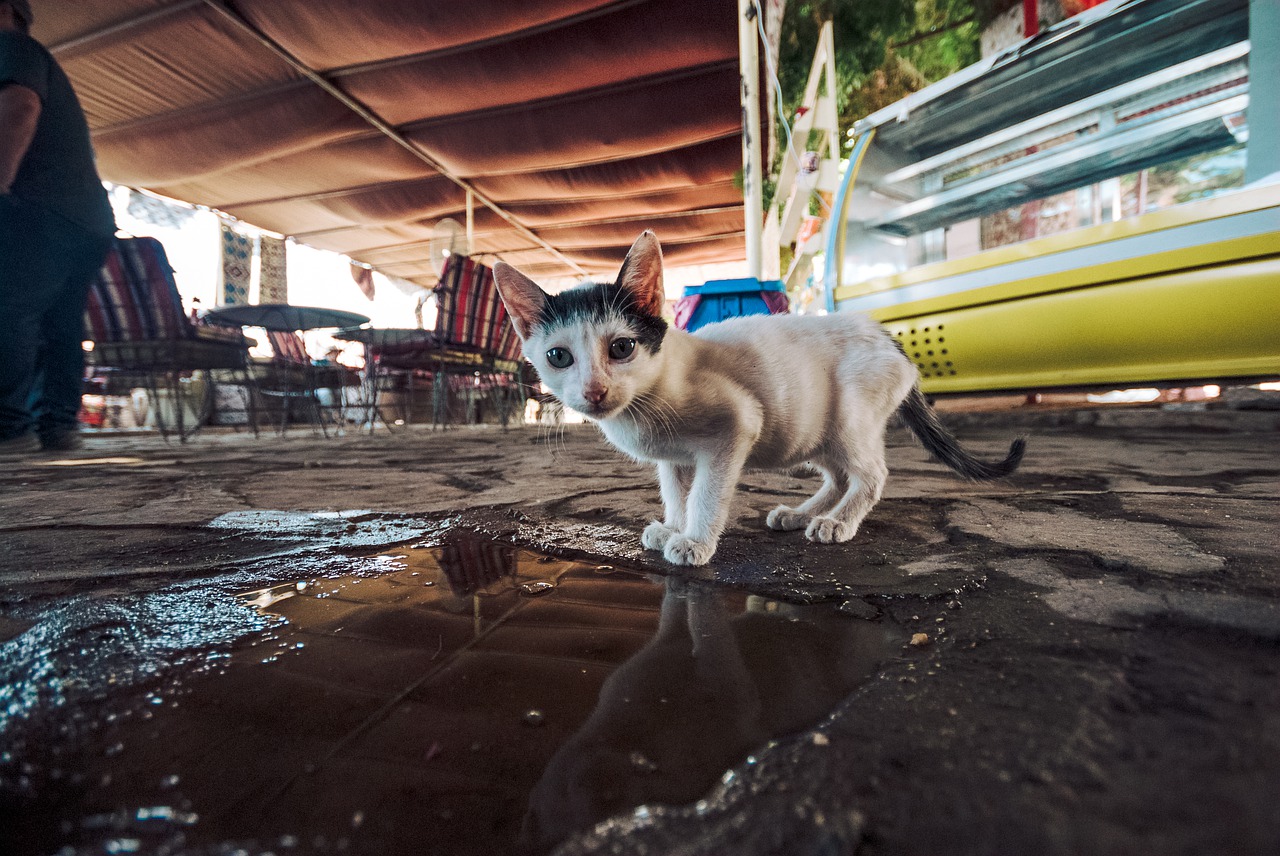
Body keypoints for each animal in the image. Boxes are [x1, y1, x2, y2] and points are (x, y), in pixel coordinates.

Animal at [494, 230, 1024, 562]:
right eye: (559, 357)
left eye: (622, 348)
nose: (595, 391)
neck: (650, 398)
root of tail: (887, 339)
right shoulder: (672, 458)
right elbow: (676, 490)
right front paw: (673, 525)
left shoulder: (736, 425)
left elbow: (706, 493)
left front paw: (694, 541)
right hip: (812, 429)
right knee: (838, 475)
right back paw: (801, 513)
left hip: (849, 417)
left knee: (872, 474)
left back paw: (837, 523)